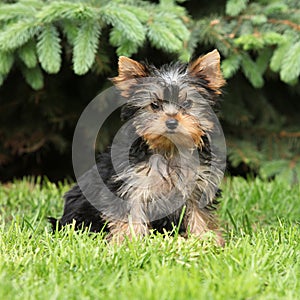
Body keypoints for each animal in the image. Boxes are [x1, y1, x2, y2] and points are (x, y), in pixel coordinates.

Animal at [50, 49, 226, 246]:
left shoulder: (197, 185)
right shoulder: (131, 184)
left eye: (187, 104)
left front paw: (205, 239)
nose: (172, 122)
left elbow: (199, 213)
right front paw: (129, 242)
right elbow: (131, 213)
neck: (168, 149)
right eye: (155, 105)